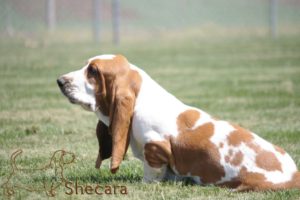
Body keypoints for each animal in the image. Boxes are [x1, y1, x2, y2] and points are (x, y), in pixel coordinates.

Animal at [56, 54, 300, 191]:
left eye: (93, 71)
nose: (59, 80)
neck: (142, 99)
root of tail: (294, 175)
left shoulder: (155, 148)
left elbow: (152, 171)